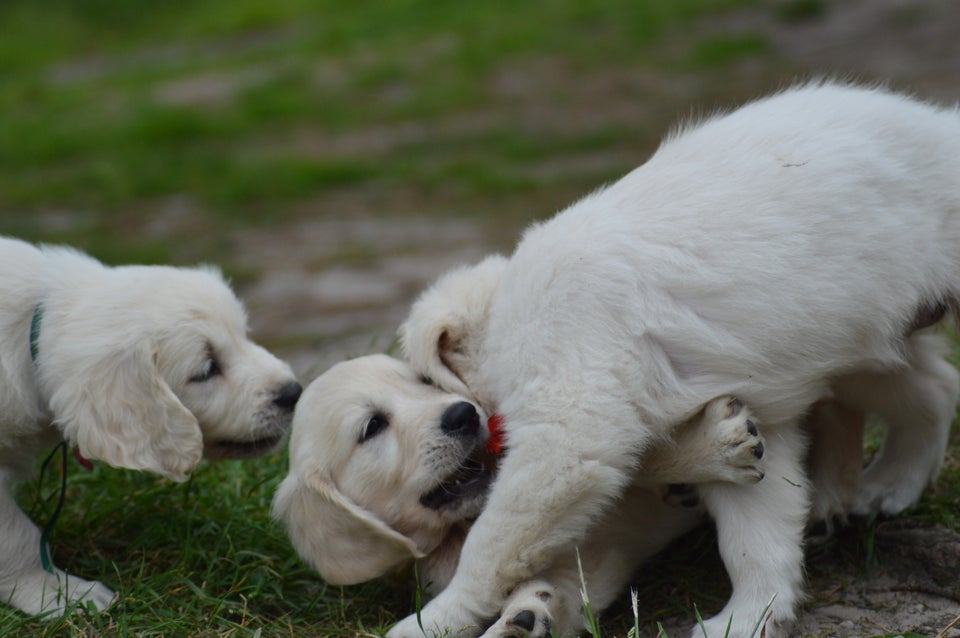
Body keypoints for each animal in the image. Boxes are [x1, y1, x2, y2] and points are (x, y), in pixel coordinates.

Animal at [0, 236, 300, 620]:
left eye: (243, 336)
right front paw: (58, 593)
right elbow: (15, 535)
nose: (293, 392)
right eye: (206, 370)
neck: (31, 333)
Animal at [272, 356, 764, 638]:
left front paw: (712, 447)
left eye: (426, 381)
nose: (463, 414)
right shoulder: (594, 560)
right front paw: (524, 618)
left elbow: (629, 451)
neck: (461, 527)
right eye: (372, 427)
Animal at [378, 81, 960, 638]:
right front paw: (746, 618)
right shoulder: (750, 416)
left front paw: (433, 618)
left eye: (421, 380)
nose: (457, 422)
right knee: (932, 387)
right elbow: (755, 529)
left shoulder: (568, 402)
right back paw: (890, 484)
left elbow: (498, 534)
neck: (502, 313)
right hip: (867, 341)